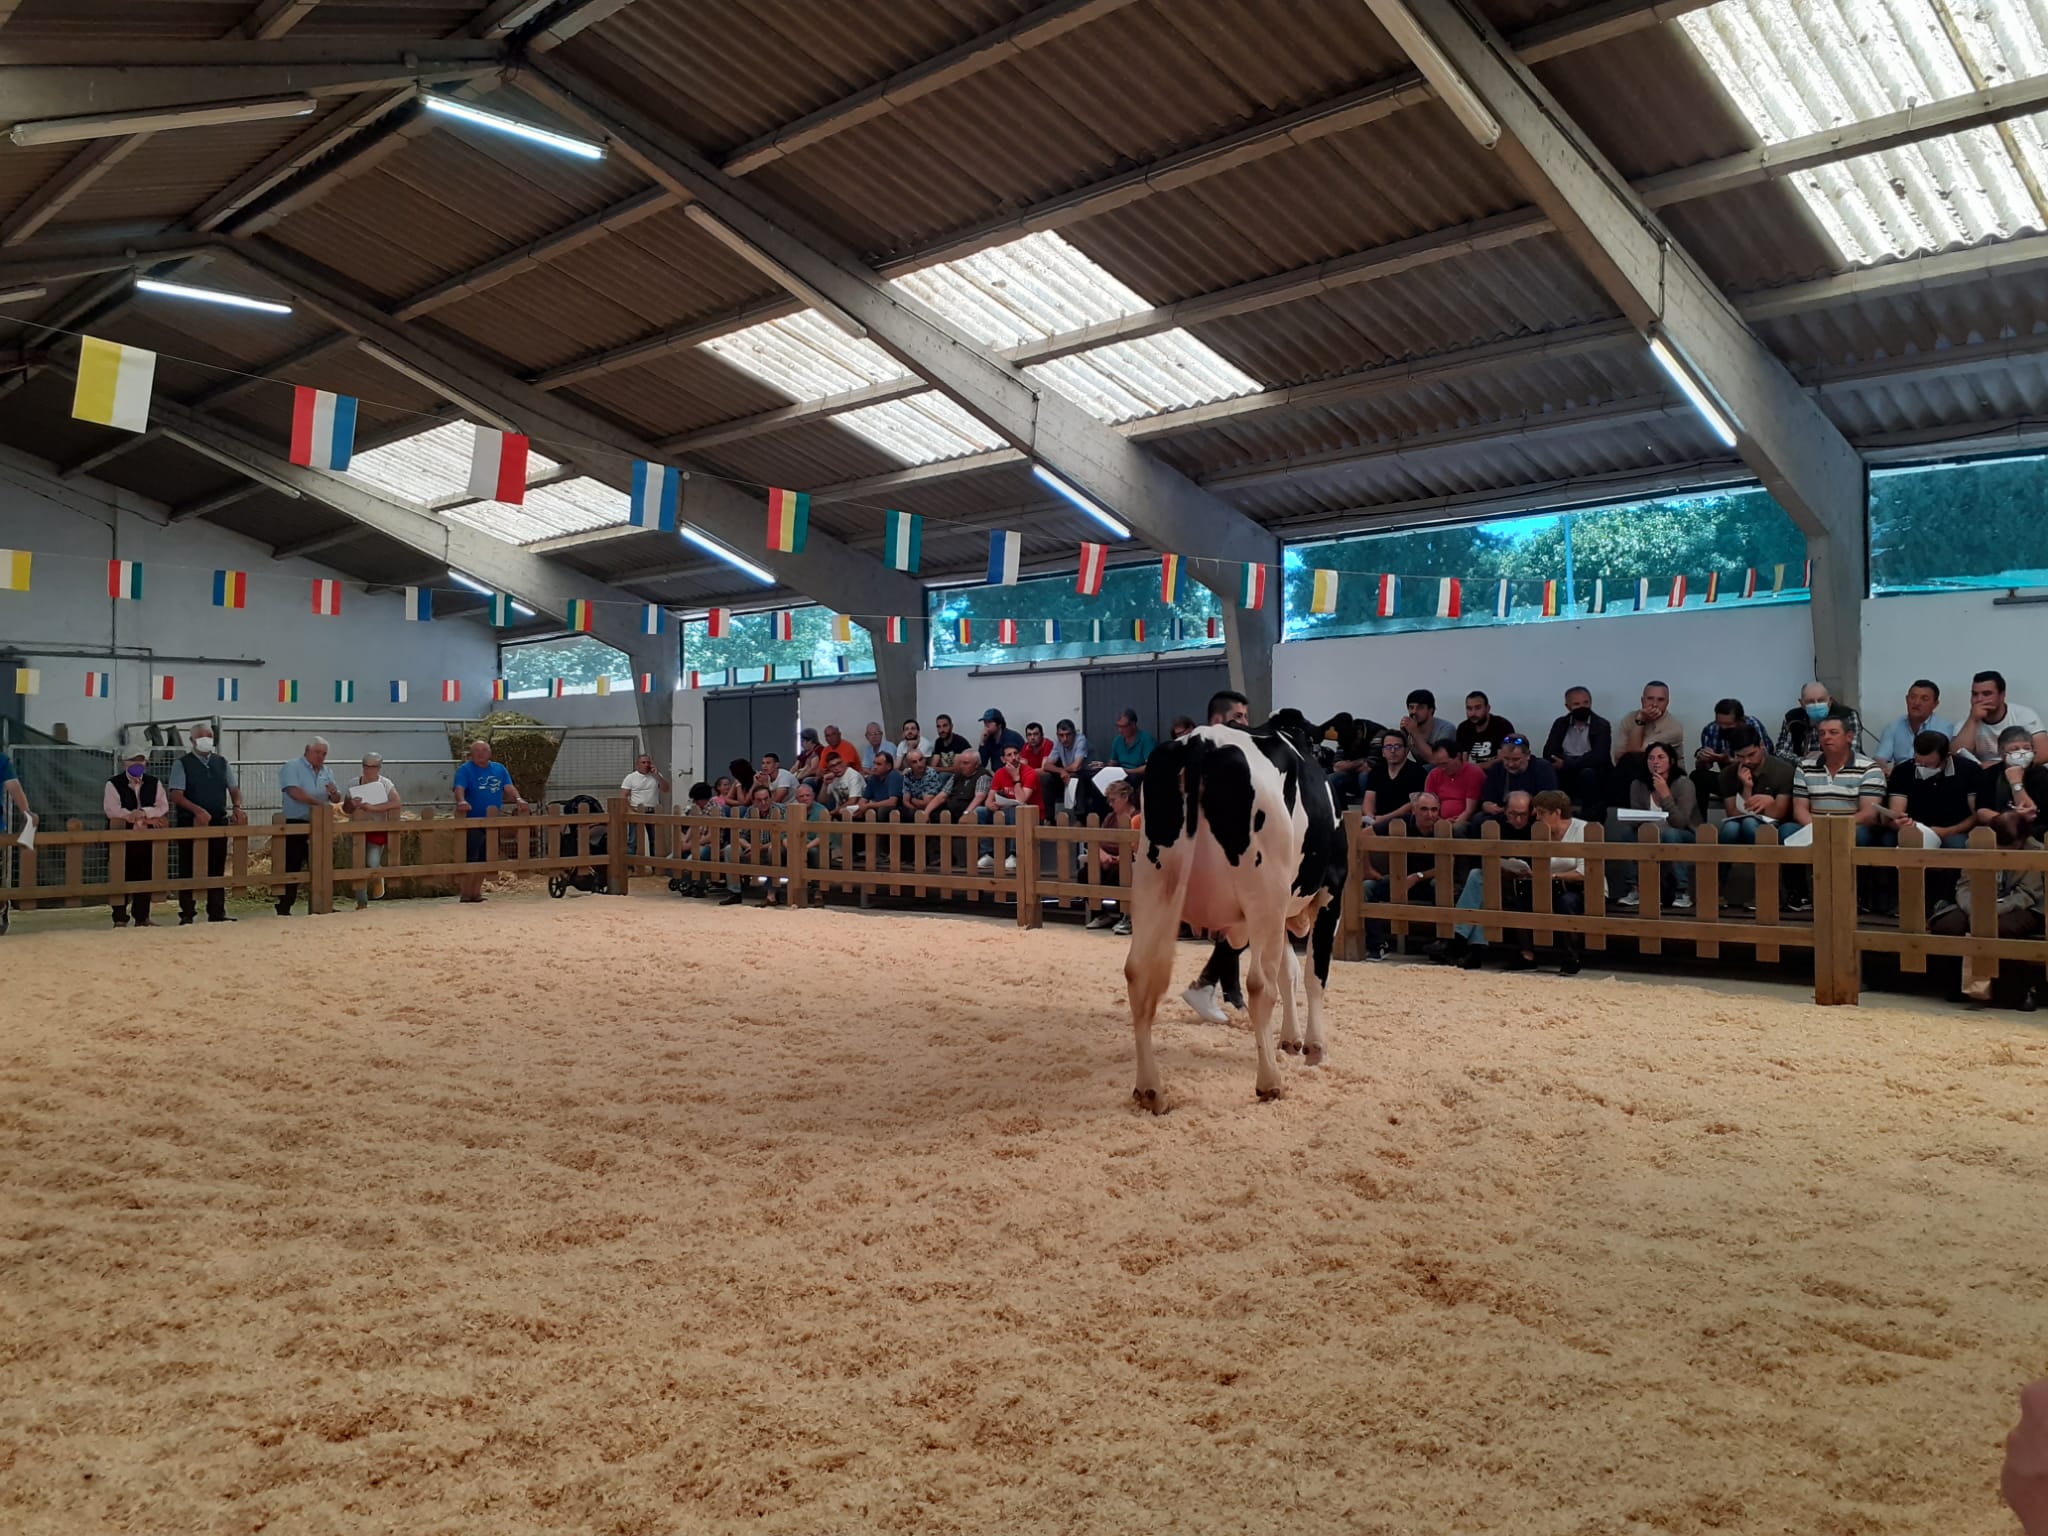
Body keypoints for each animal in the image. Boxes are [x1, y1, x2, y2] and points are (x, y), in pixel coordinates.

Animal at [1123, 713, 1345, 1112]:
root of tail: (1201, 741)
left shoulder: (1273, 915)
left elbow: (1289, 972)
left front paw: (1291, 1040)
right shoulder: (1329, 892)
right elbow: (1312, 974)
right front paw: (1314, 1047)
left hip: (1152, 882)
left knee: (1137, 973)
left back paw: (1150, 1090)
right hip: (1262, 892)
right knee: (1259, 984)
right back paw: (1269, 1082)